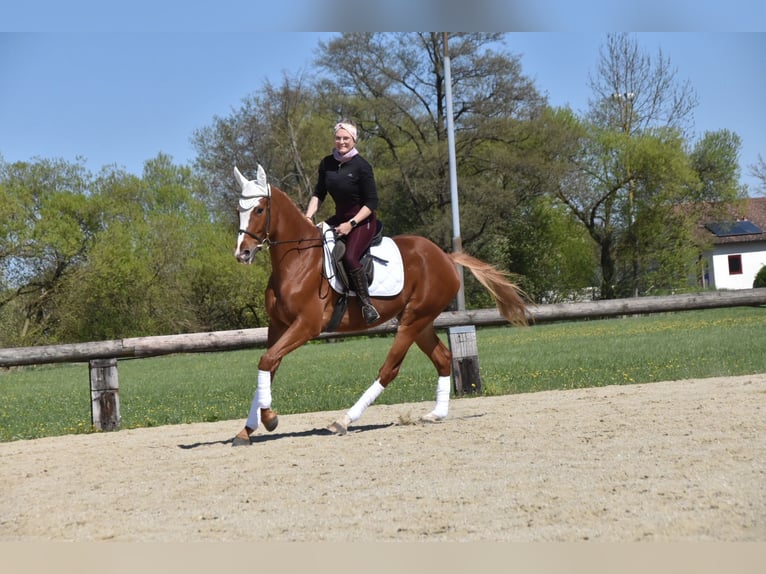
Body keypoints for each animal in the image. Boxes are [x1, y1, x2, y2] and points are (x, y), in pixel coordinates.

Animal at [231, 164, 529, 446]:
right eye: (238, 210)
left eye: (259, 209)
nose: (242, 253)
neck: (297, 260)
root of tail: (444, 256)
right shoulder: (279, 327)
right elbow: (268, 366)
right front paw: (247, 430)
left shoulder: (306, 326)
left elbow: (267, 360)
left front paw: (269, 419)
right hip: (420, 322)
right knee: (443, 359)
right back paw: (435, 414)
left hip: (412, 321)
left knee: (389, 370)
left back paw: (344, 420)